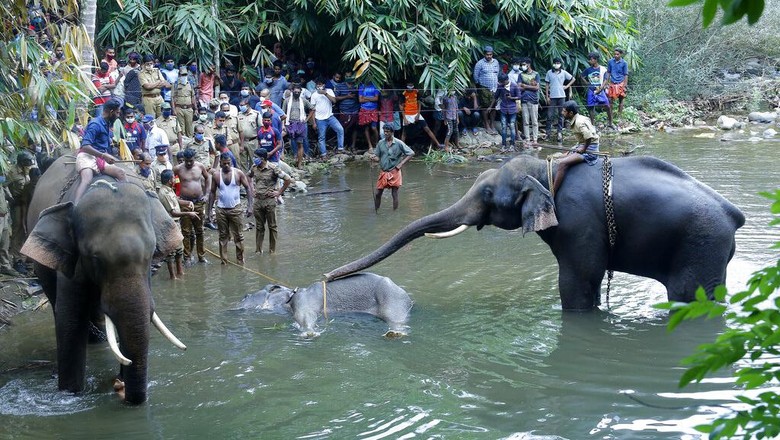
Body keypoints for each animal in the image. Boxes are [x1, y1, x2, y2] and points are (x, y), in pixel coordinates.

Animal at [21, 156, 186, 406]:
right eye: (94, 258)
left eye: (150, 254)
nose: (121, 388)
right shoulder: (73, 262)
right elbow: (70, 322)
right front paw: (70, 394)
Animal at [326, 156, 748, 312]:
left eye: (487, 194)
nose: (328, 277)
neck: (548, 168)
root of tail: (734, 215)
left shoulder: (579, 222)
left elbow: (579, 279)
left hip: (701, 244)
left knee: (690, 296)